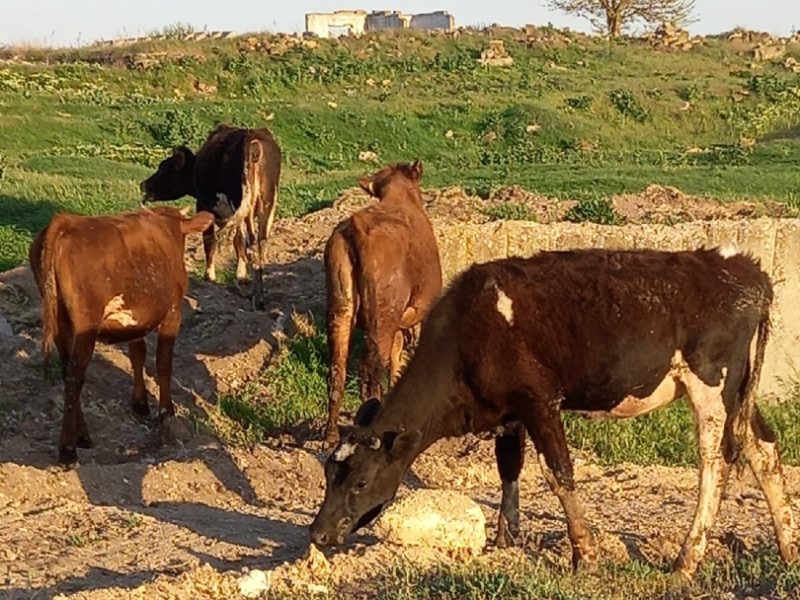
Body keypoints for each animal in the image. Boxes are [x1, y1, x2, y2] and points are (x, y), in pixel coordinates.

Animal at [30, 204, 214, 466]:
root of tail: (67, 221)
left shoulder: (136, 320)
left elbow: (138, 355)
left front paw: (140, 403)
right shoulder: (173, 313)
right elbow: (163, 364)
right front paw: (166, 412)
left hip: (59, 321)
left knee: (67, 372)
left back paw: (82, 435)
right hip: (85, 324)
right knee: (75, 377)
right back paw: (68, 449)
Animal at [140, 122, 282, 310]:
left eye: (163, 168)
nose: (143, 184)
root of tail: (253, 138)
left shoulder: (203, 205)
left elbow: (210, 241)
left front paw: (210, 276)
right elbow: (237, 241)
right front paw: (241, 275)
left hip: (245, 203)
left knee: (251, 244)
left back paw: (255, 297)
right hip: (267, 204)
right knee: (261, 243)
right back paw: (259, 297)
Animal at [310, 248, 796, 576]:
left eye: (360, 481)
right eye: (328, 475)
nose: (318, 534)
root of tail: (745, 268)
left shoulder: (539, 399)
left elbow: (558, 471)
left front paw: (584, 554)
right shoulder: (507, 409)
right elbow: (509, 467)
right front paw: (505, 539)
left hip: (711, 384)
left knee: (716, 462)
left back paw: (686, 560)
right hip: (739, 391)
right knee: (764, 449)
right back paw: (788, 547)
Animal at [322, 159, 444, 446]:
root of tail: (358, 226)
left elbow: (397, 361)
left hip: (341, 308)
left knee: (338, 369)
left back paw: (331, 434)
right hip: (383, 317)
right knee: (371, 365)